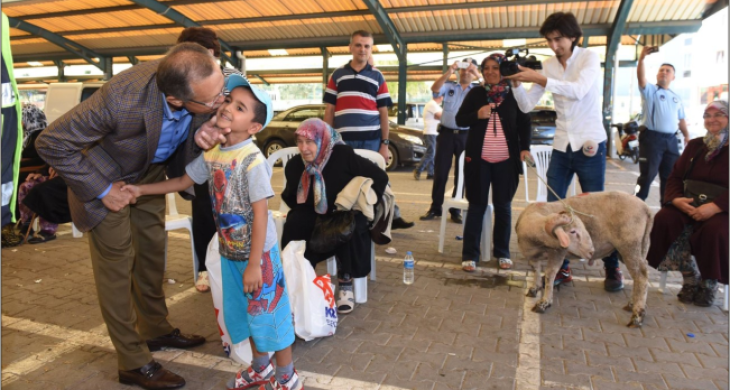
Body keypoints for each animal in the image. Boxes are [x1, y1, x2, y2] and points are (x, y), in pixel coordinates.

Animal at [512, 190, 656, 328]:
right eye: (573, 231)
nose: (591, 251)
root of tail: (645, 207)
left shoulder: (557, 252)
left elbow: (549, 275)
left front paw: (544, 302)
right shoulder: (532, 255)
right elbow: (535, 270)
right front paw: (534, 288)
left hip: (629, 245)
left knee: (642, 276)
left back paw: (637, 315)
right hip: (638, 246)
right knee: (638, 276)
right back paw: (632, 303)